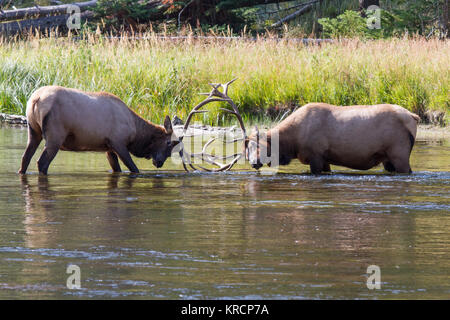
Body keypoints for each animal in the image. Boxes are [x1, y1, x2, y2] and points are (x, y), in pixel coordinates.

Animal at [17, 85, 179, 175]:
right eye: (169, 143)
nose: (159, 162)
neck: (136, 133)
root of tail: (35, 99)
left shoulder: (108, 147)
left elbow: (117, 169)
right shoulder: (118, 142)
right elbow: (133, 168)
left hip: (33, 131)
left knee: (25, 158)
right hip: (55, 135)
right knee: (41, 162)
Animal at [246, 103, 418, 174]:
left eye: (260, 146)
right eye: (248, 148)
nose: (254, 163)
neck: (292, 144)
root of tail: (413, 117)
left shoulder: (315, 156)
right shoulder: (325, 159)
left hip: (399, 154)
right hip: (387, 159)